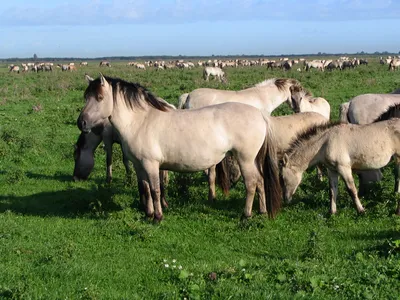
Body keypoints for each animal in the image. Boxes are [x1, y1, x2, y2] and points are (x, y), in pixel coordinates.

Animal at [77, 75, 282, 220]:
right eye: (86, 96)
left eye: (100, 97)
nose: (81, 123)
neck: (140, 121)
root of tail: (260, 114)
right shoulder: (139, 165)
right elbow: (144, 188)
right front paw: (148, 214)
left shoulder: (151, 164)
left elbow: (155, 190)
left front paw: (158, 217)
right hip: (253, 160)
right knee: (261, 181)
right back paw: (262, 211)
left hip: (245, 158)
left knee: (251, 183)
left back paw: (245, 216)